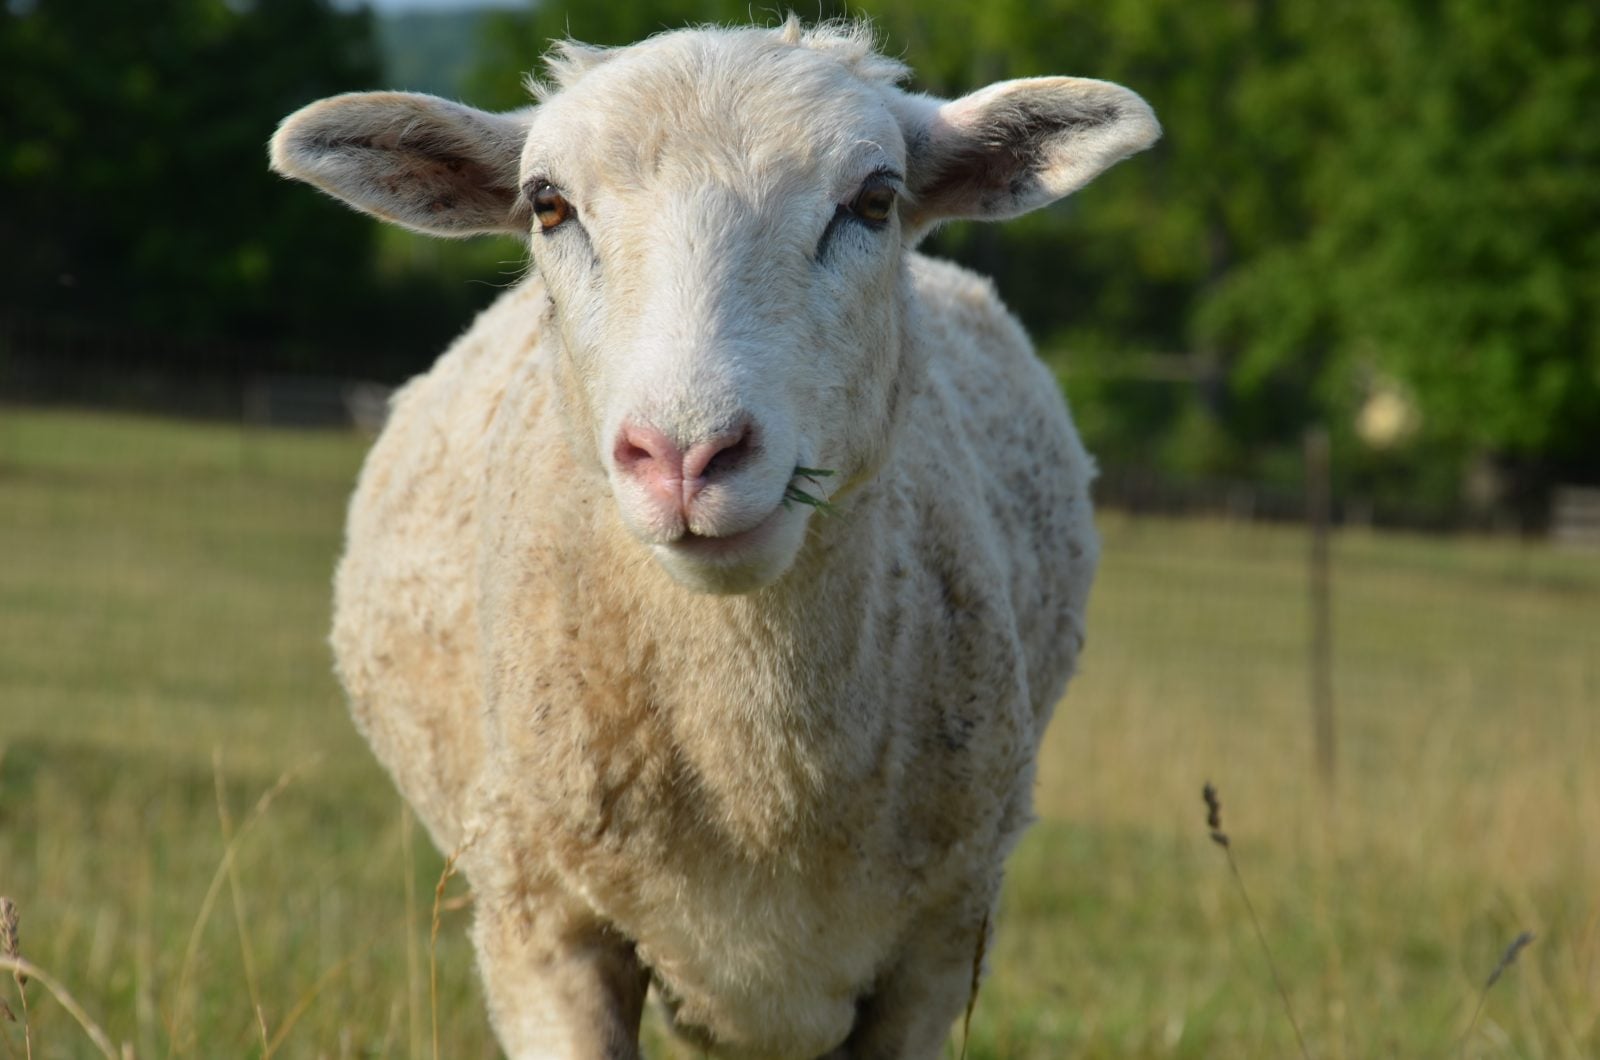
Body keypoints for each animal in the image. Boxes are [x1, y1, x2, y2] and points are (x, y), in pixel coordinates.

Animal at [270, 20, 1158, 1059]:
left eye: (875, 199)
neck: (753, 773)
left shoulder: (939, 945)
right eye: (548, 204)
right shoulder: (543, 926)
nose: (686, 455)